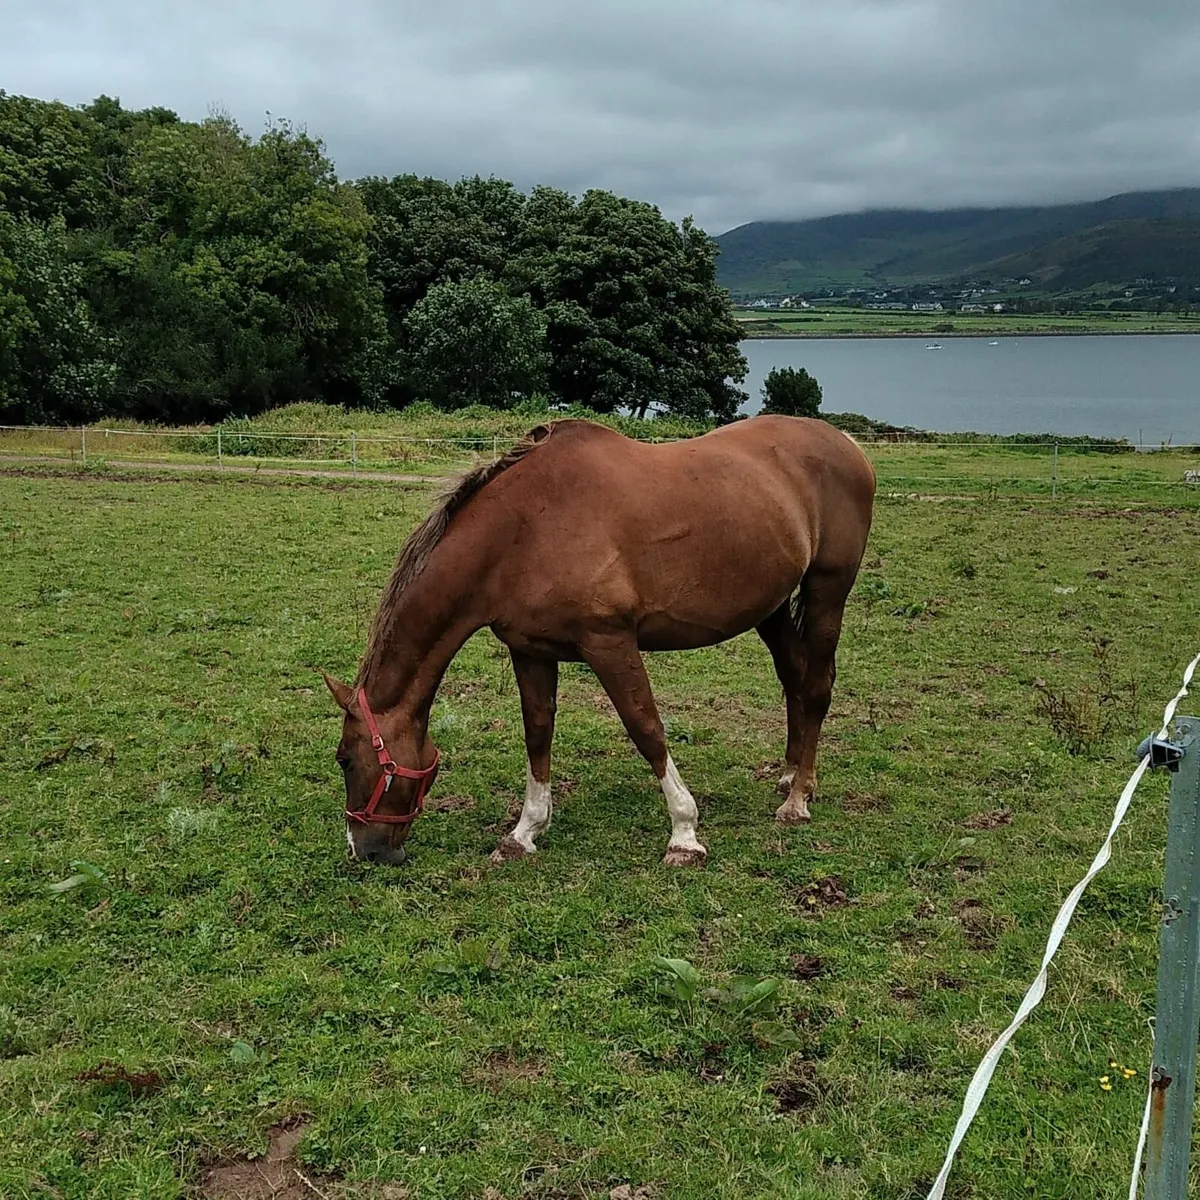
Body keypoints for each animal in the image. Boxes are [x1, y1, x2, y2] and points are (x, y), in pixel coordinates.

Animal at [323, 416, 876, 867]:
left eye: (345, 759)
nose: (364, 851)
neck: (522, 531)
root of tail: (845, 443)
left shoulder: (609, 642)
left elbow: (646, 728)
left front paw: (684, 834)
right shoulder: (530, 650)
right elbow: (538, 733)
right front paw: (524, 832)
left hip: (828, 591)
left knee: (817, 687)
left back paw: (796, 800)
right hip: (773, 607)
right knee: (794, 679)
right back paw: (789, 776)